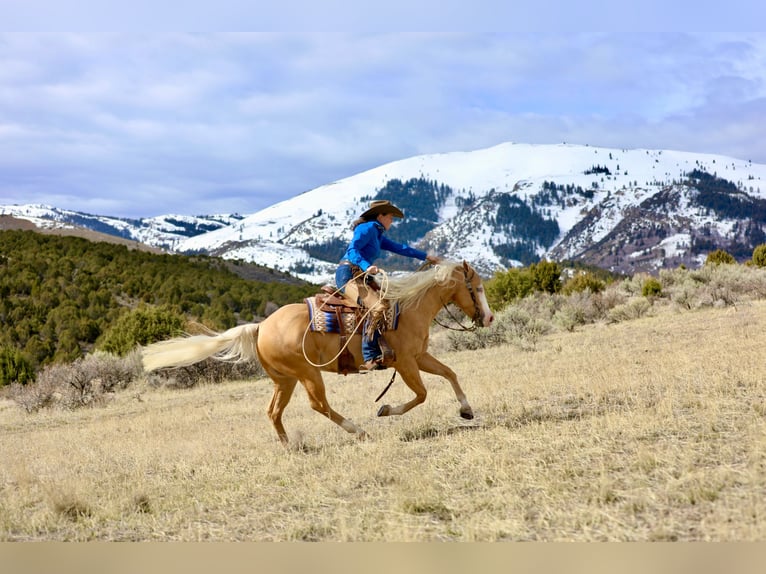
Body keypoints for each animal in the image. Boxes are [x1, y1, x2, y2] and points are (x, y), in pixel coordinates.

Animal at [141, 261, 494, 445]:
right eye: (476, 288)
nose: (489, 318)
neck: (408, 309)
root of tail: (261, 327)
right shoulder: (407, 362)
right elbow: (421, 394)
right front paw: (384, 410)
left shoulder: (420, 357)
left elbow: (450, 373)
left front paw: (466, 410)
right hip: (307, 373)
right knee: (318, 405)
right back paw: (357, 430)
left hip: (284, 380)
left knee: (274, 411)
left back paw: (290, 446)